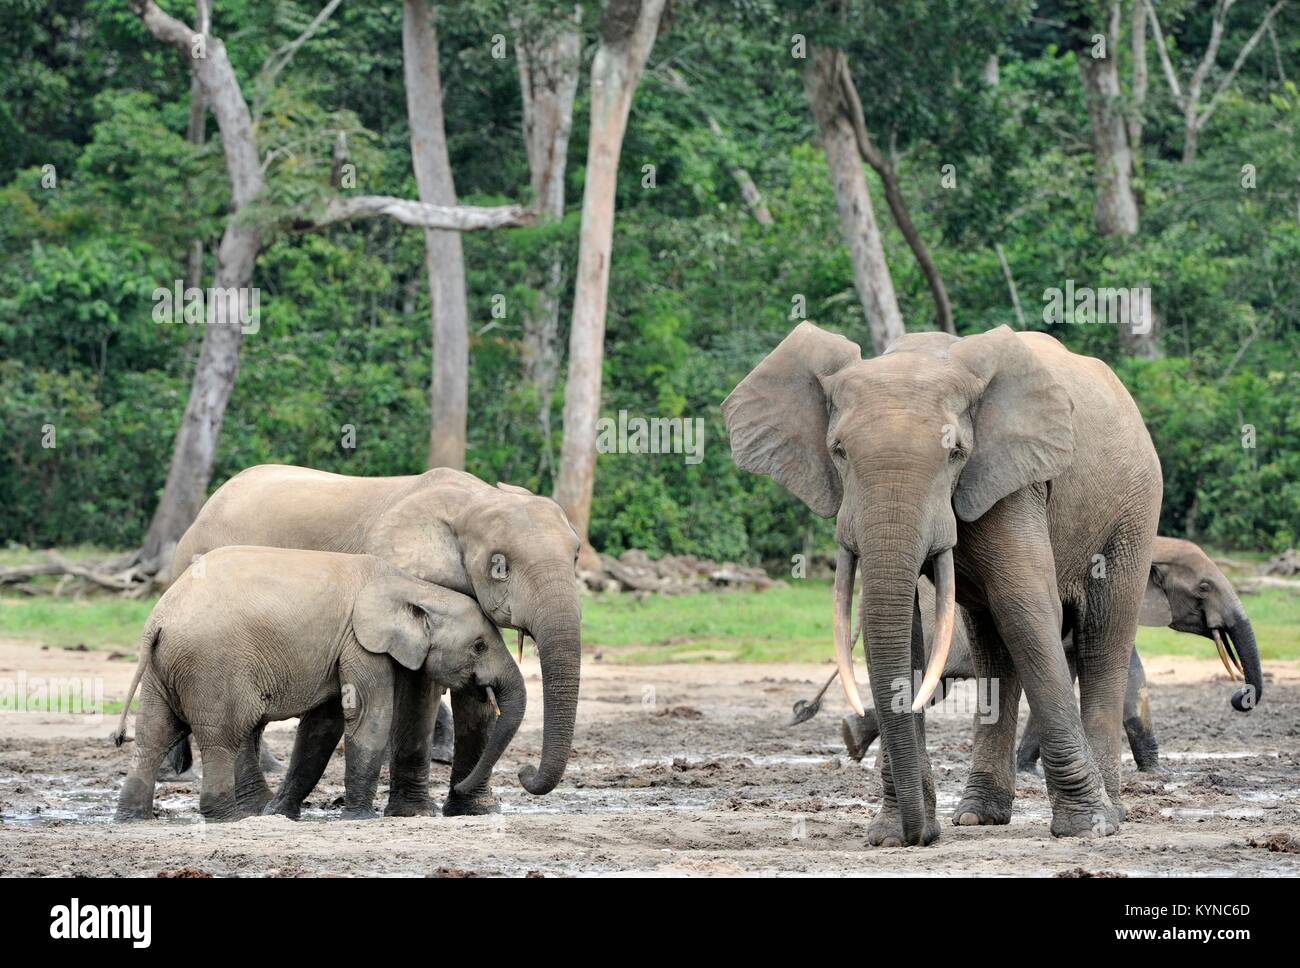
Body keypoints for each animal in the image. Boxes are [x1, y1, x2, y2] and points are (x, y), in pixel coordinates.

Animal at [110, 548, 517, 821]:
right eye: (479, 646)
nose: (458, 789)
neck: (414, 587)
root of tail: (158, 620)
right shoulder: (360, 641)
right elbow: (368, 714)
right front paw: (360, 818)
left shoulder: (342, 646)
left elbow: (324, 723)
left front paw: (281, 814)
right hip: (211, 663)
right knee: (224, 735)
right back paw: (230, 818)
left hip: (163, 669)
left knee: (153, 734)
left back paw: (134, 818)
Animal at [169, 465, 585, 810]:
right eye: (501, 566)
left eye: (577, 556)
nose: (525, 774)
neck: (472, 500)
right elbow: (420, 685)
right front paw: (415, 812)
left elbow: (473, 695)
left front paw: (473, 810)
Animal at [728, 324, 1164, 847]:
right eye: (838, 451)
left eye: (955, 453)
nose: (919, 837)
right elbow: (901, 632)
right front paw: (891, 834)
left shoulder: (1017, 481)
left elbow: (1026, 610)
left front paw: (1085, 828)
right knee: (993, 644)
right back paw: (978, 816)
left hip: (1133, 511)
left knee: (1101, 637)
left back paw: (1110, 815)